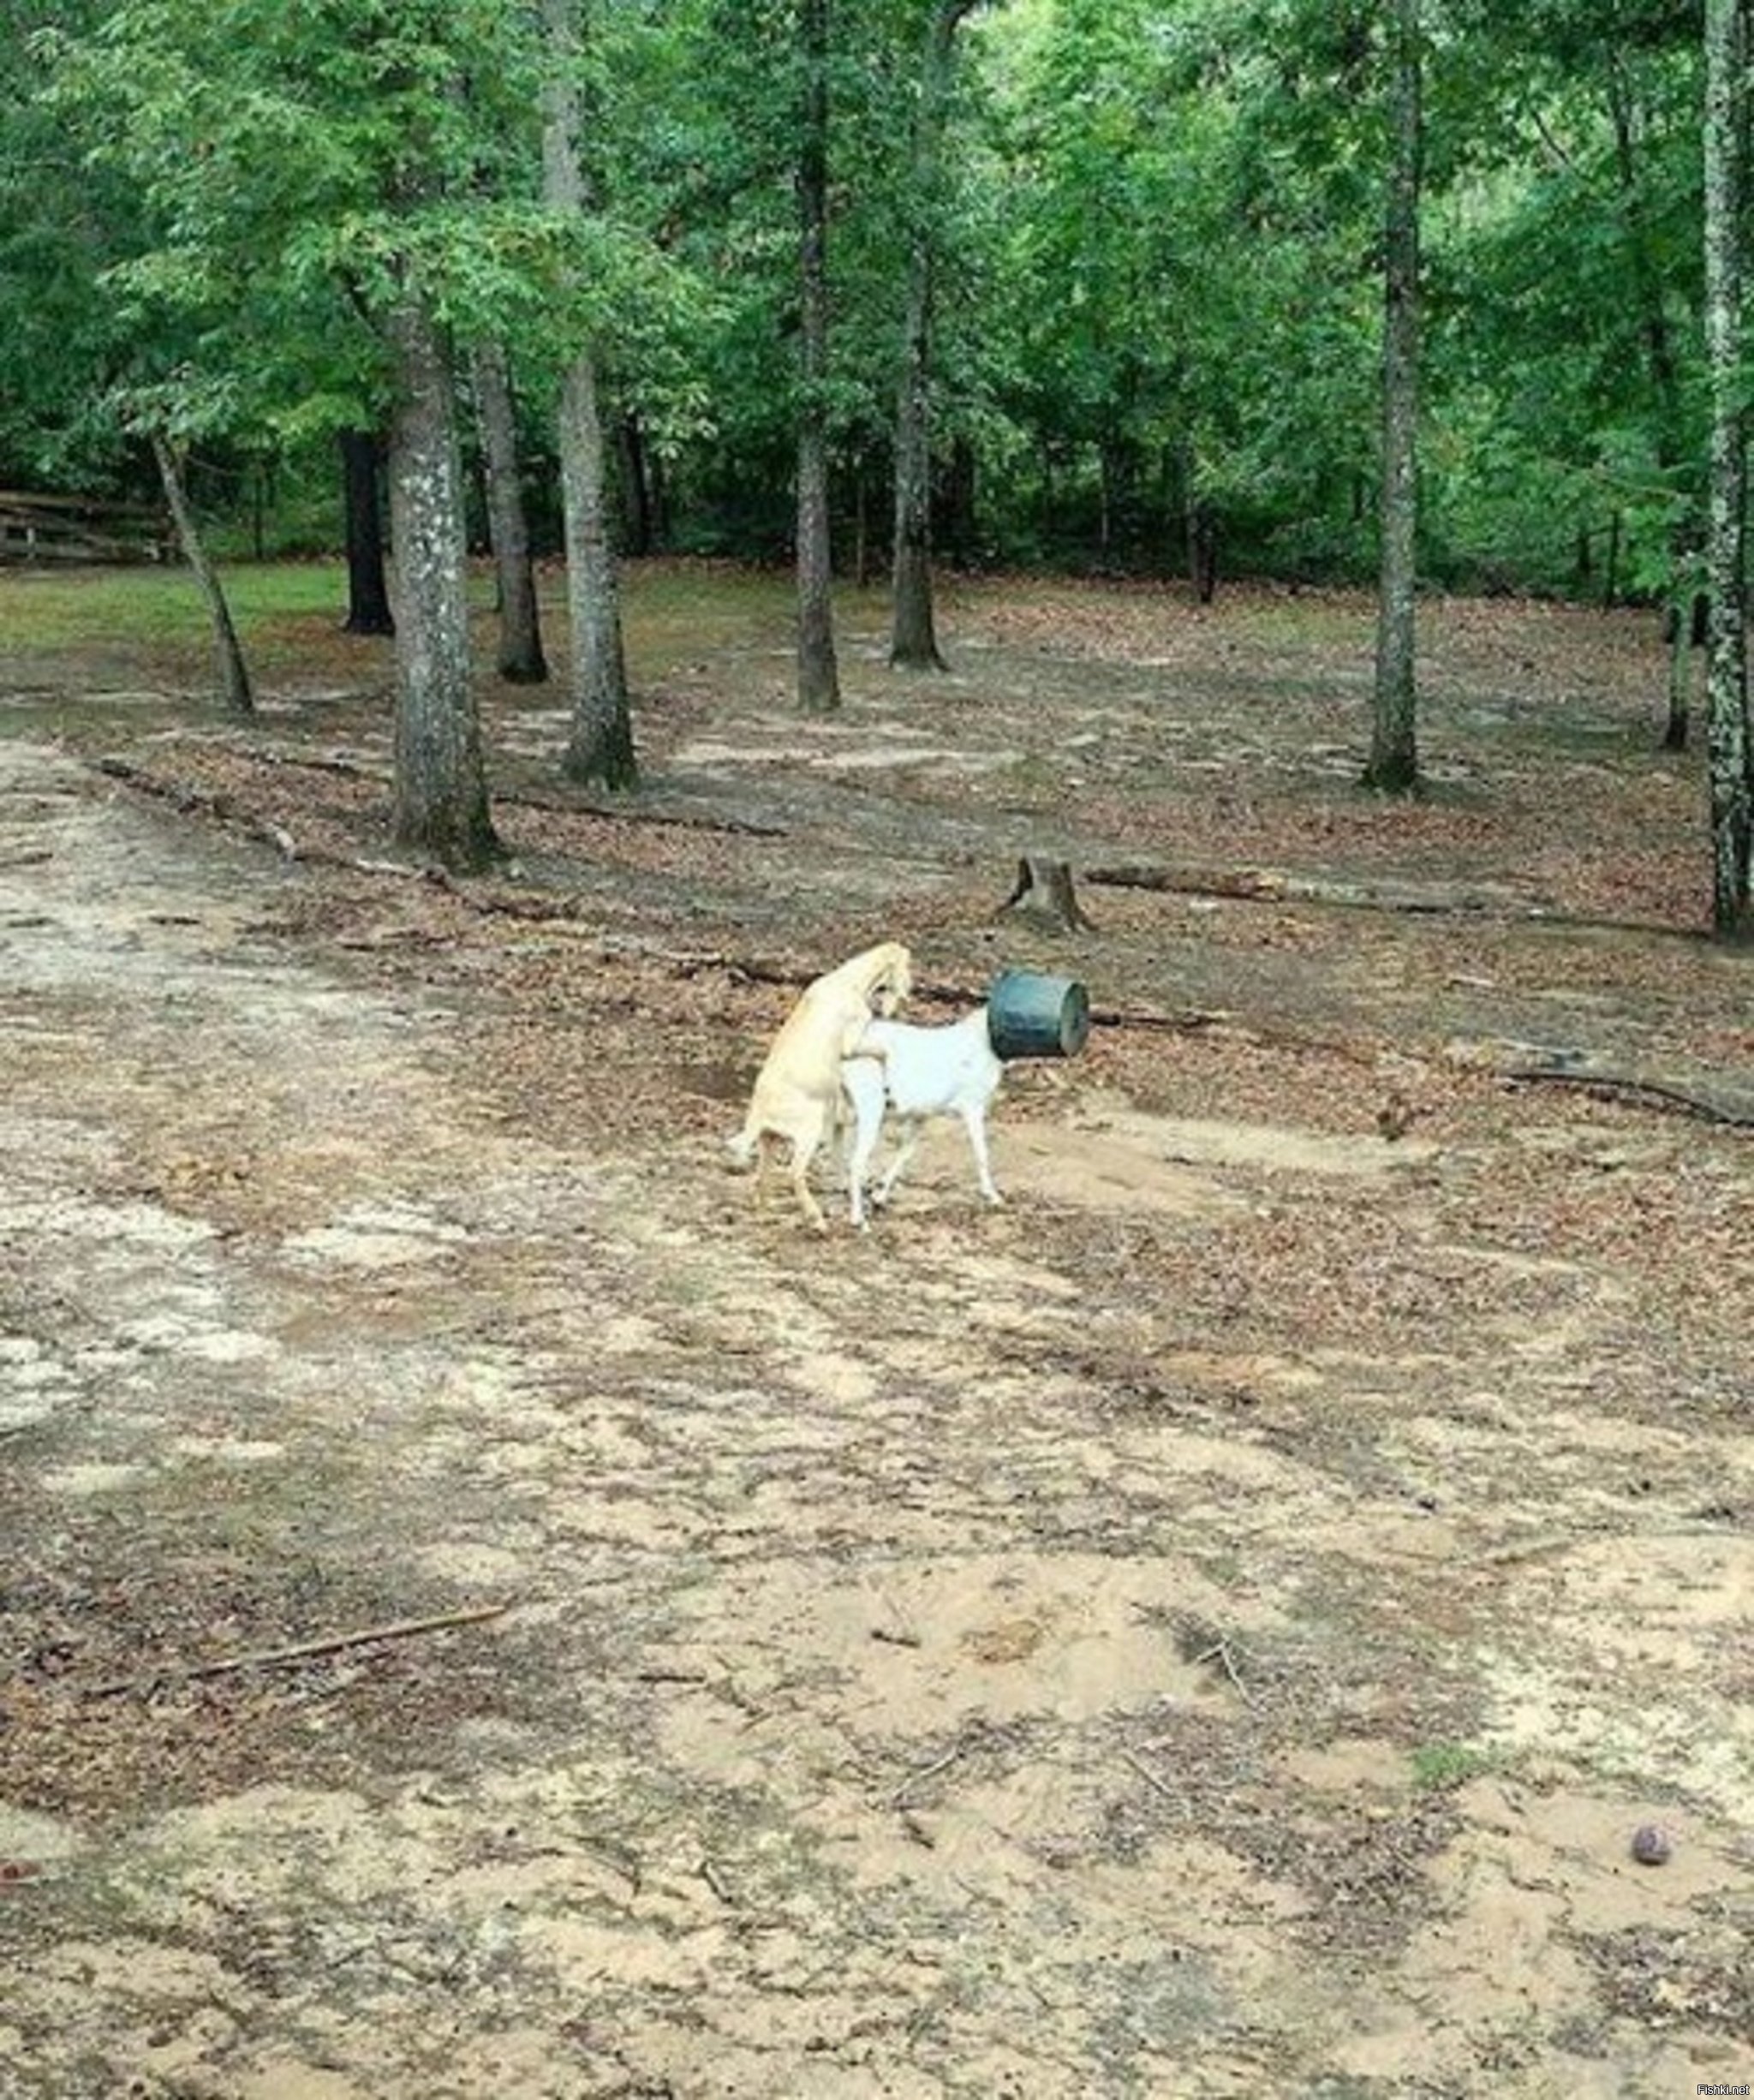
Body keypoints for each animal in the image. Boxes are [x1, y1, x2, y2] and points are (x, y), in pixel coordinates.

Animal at [836, 1004, 999, 1226]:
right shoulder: (973, 1106)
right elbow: (982, 1152)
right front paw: (992, 1196)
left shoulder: (922, 1115)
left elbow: (906, 1152)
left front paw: (879, 1196)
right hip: (870, 1107)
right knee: (855, 1160)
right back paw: (857, 1218)